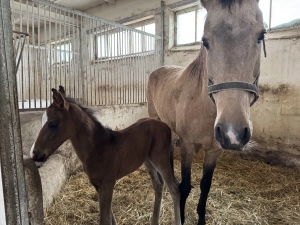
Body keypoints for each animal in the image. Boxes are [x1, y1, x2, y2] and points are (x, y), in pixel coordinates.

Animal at [31, 86, 180, 225]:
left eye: (53, 124)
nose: (35, 153)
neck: (98, 147)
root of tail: (165, 125)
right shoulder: (98, 186)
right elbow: (110, 217)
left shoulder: (107, 184)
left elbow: (105, 219)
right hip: (148, 161)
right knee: (158, 185)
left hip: (160, 159)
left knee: (174, 188)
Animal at [147, 0, 264, 225]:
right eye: (205, 41)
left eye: (261, 35)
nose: (232, 133)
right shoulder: (188, 147)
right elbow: (184, 187)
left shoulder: (214, 152)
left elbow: (205, 186)